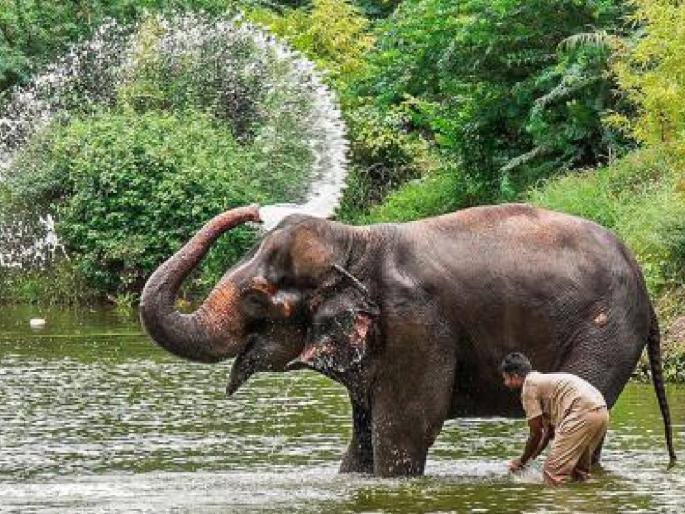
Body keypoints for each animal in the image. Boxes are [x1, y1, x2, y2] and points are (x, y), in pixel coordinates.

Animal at [139, 203, 676, 477]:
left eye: (255, 297)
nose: (255, 211)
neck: (356, 240)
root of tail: (645, 286)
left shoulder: (417, 324)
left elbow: (405, 427)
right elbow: (364, 432)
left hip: (606, 331)